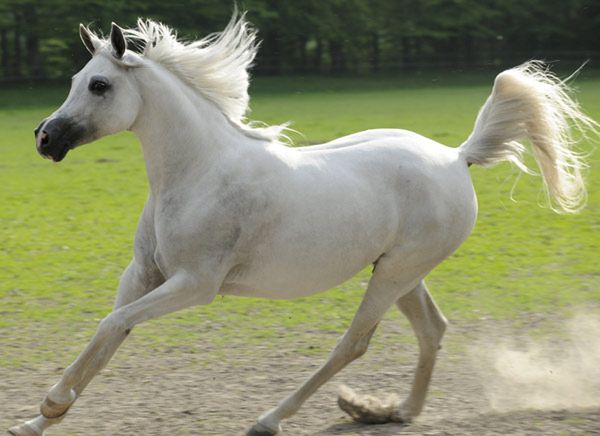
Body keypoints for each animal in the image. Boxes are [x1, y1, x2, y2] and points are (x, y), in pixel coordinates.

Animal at [8, 13, 596, 436]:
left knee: (353, 344)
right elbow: (109, 332)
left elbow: (112, 325)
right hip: (402, 272)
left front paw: (51, 404)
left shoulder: (195, 285)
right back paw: (397, 411)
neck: (198, 173)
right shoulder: (143, 275)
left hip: (394, 274)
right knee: (432, 329)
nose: (44, 138)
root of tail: (456, 157)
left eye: (100, 86)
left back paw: (271, 419)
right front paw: (35, 421)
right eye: (76, 80)